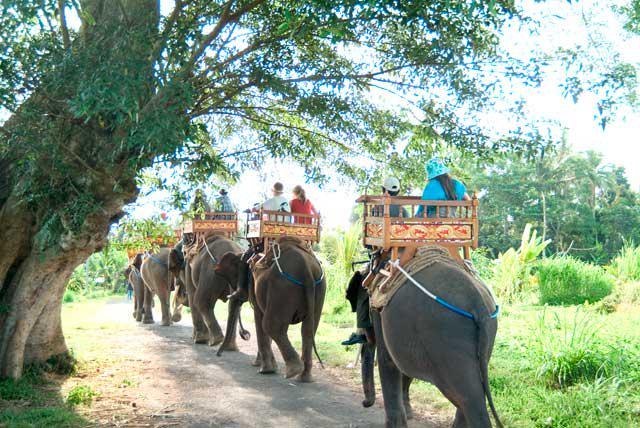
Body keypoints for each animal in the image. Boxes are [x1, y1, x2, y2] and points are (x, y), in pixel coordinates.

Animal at [217, 237, 326, 383]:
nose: (218, 355)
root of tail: (306, 268)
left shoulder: (254, 284)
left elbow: (259, 317)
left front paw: (264, 369)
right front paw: (267, 366)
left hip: (281, 288)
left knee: (270, 325)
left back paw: (293, 371)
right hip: (319, 287)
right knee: (309, 329)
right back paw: (303, 377)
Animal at [352, 252, 502, 428]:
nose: (365, 403)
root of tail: (478, 303)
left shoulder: (380, 308)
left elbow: (388, 361)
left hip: (446, 339)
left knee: (468, 397)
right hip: (488, 333)